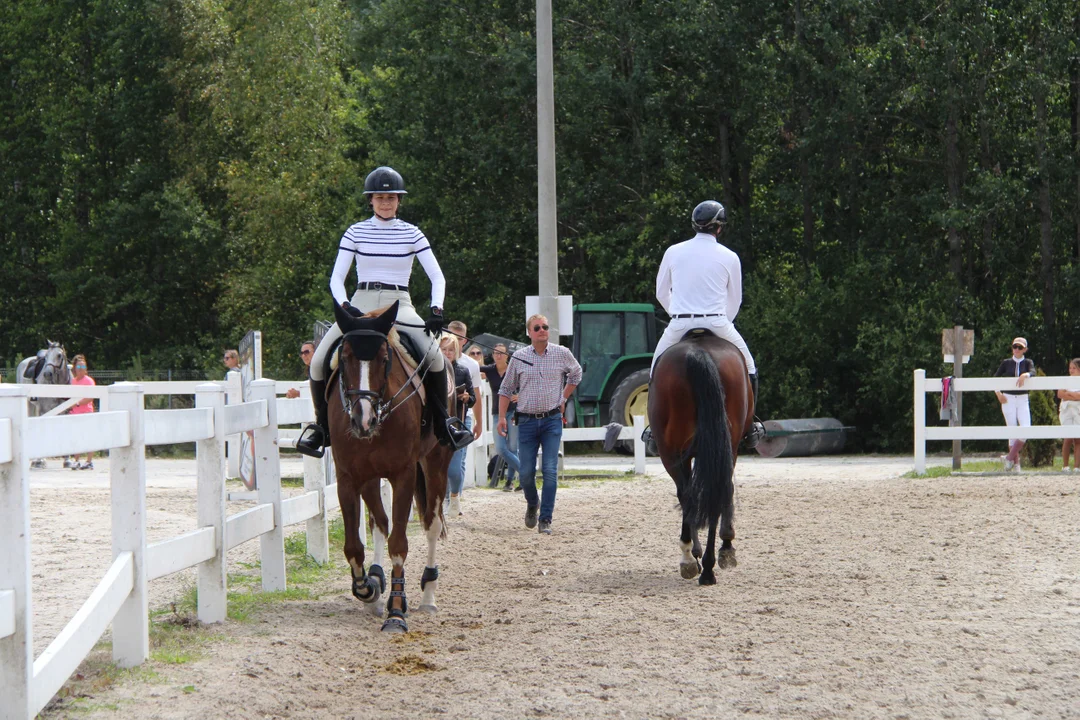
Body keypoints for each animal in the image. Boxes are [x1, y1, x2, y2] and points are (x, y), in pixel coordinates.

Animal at [321, 297, 453, 630]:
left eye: (384, 359)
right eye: (345, 358)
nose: (362, 420)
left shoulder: (402, 475)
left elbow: (399, 544)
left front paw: (396, 611)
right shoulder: (348, 477)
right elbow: (354, 546)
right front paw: (368, 588)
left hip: (436, 461)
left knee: (432, 523)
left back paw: (428, 595)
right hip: (370, 477)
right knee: (380, 522)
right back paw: (377, 585)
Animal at [643, 330, 756, 587]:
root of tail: (697, 353)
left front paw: (694, 554)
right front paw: (724, 547)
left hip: (672, 452)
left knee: (691, 495)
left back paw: (693, 561)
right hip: (716, 447)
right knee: (714, 491)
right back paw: (708, 566)